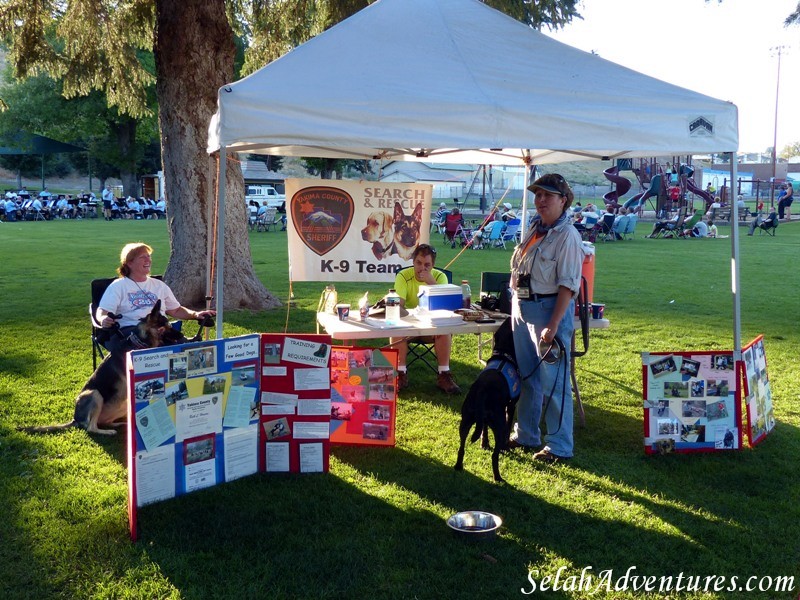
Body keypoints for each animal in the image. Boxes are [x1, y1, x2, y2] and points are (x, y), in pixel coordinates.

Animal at [20, 300, 209, 436]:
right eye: (165, 327)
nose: (182, 335)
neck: (140, 343)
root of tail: (75, 419)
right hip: (94, 394)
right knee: (91, 427)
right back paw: (108, 431)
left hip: (119, 404)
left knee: (102, 422)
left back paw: (120, 423)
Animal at [454, 318, 520, 482]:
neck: (503, 355)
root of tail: (483, 390)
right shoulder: (511, 406)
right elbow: (508, 427)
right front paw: (505, 446)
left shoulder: (482, 419)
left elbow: (483, 429)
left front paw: (484, 444)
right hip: (498, 423)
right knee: (494, 456)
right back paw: (498, 477)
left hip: (465, 420)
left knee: (461, 447)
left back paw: (458, 466)